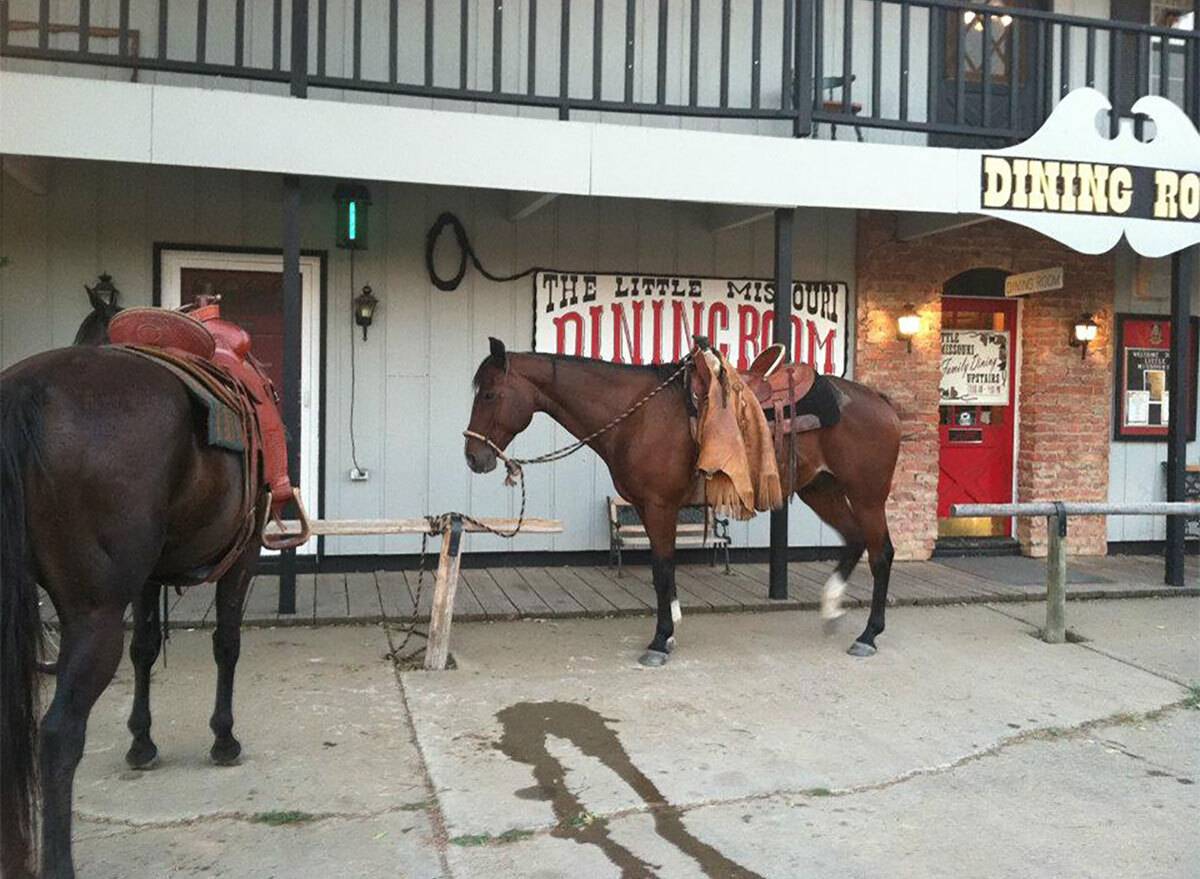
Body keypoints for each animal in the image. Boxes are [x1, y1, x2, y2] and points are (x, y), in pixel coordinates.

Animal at [0, 296, 267, 879]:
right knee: (58, 733)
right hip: (95, 615)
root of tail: (27, 390)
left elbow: (144, 650)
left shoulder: (147, 577)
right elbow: (227, 645)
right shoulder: (243, 559)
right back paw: (57, 863)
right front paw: (223, 736)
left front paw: (142, 741)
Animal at [468, 338, 902, 667]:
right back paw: (831, 608)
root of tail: (880, 402)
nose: (473, 457)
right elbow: (664, 570)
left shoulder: (660, 505)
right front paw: (672, 623)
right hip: (821, 489)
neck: (638, 414)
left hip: (867, 495)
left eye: (489, 394)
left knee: (881, 552)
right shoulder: (647, 507)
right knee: (854, 540)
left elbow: (661, 568)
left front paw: (661, 640)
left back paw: (869, 634)